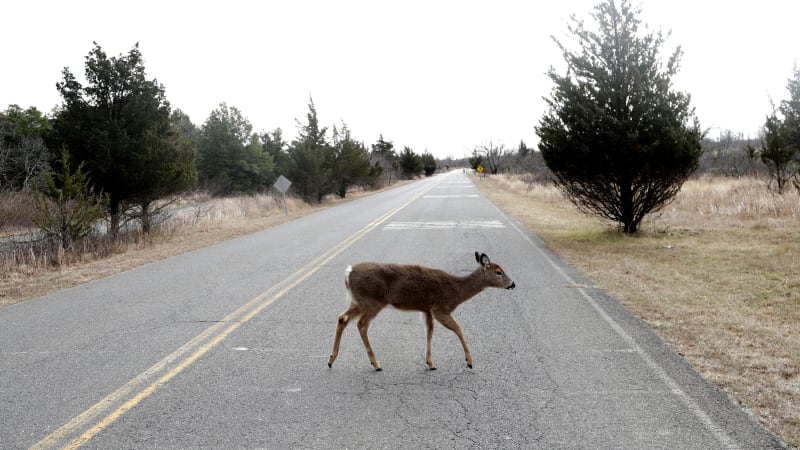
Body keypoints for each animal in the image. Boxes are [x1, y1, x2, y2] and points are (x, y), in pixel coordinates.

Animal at [328, 251, 516, 370]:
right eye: (499, 272)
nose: (513, 284)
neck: (457, 291)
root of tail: (348, 273)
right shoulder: (441, 308)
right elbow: (459, 329)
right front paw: (469, 361)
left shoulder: (427, 309)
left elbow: (429, 332)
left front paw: (430, 363)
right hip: (372, 301)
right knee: (361, 324)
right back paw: (376, 364)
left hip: (358, 301)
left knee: (342, 318)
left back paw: (331, 360)